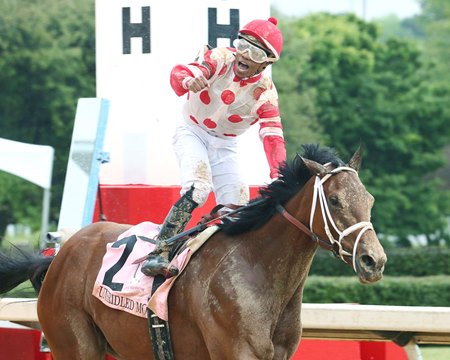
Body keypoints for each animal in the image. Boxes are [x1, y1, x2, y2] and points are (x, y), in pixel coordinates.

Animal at [0, 144, 386, 360]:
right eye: (334, 200)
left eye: (369, 199)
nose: (374, 260)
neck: (258, 268)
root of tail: (58, 256)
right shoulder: (236, 352)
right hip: (75, 344)